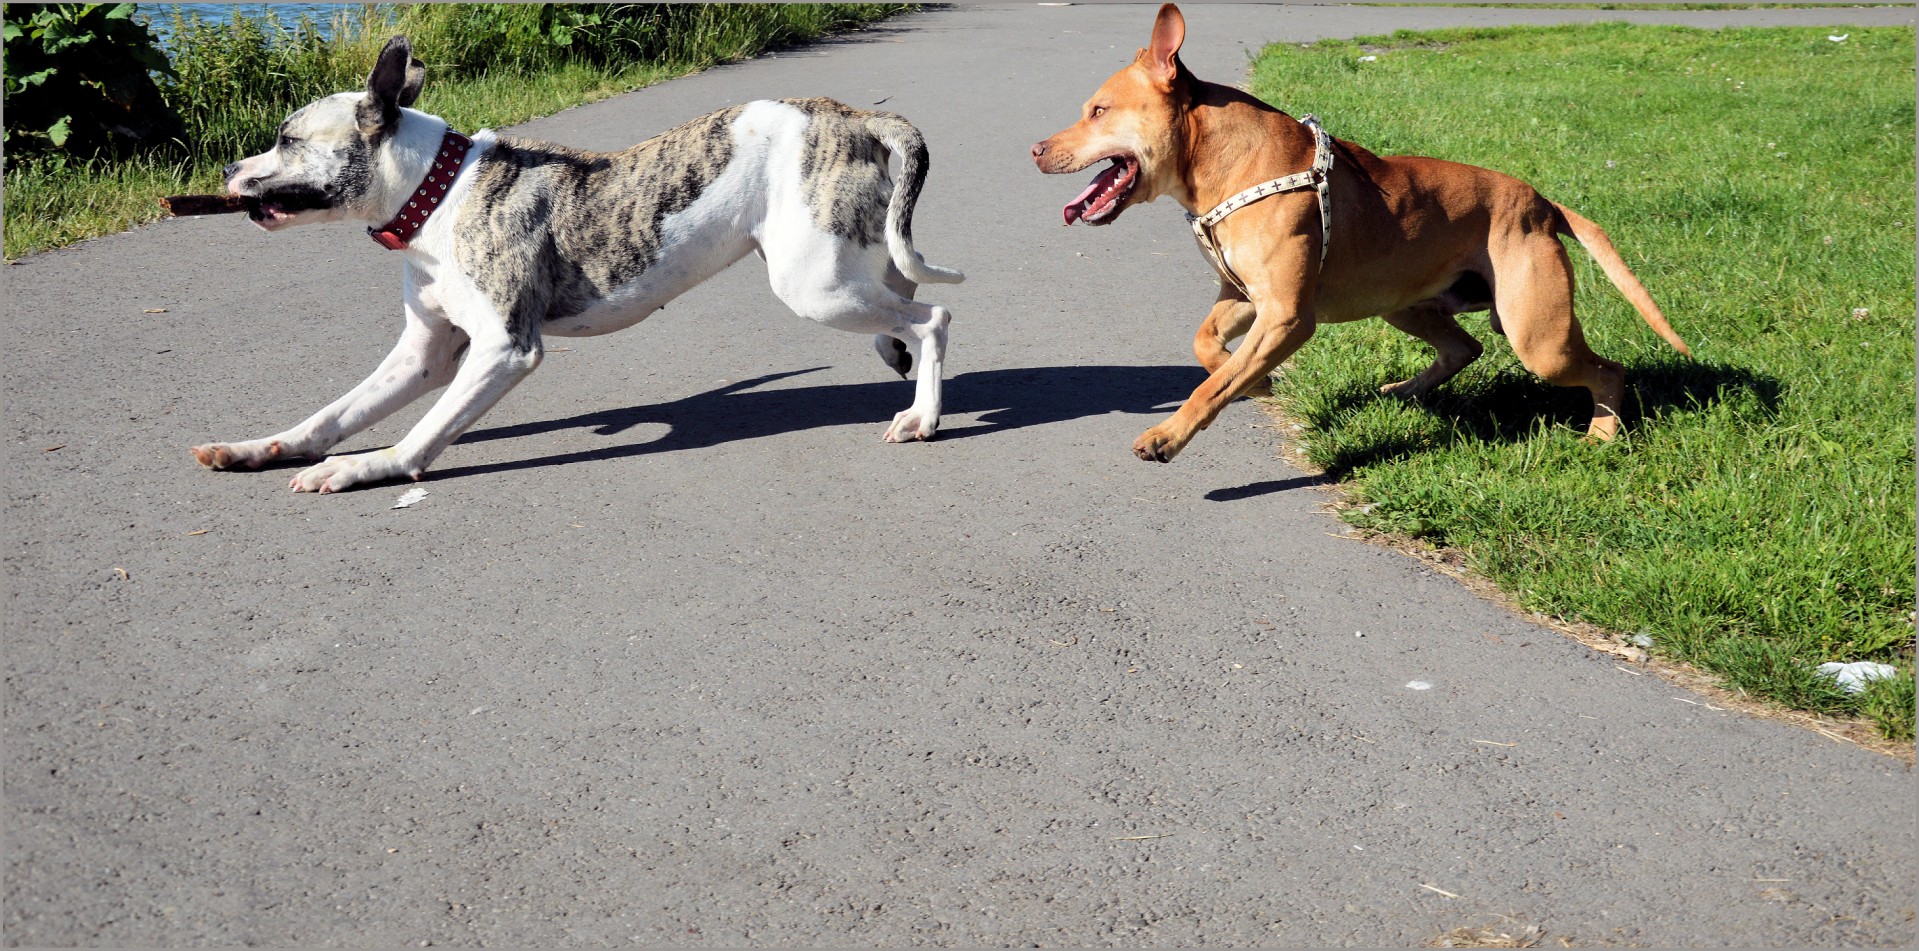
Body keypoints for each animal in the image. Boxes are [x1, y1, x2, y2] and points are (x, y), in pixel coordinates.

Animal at [194, 33, 959, 494]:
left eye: (286, 140)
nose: (227, 168)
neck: (437, 189)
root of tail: (851, 115)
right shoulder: (423, 354)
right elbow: (328, 416)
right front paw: (259, 447)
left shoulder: (503, 350)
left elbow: (420, 436)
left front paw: (365, 467)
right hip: (844, 264)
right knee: (899, 299)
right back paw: (897, 360)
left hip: (814, 286)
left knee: (933, 317)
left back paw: (921, 414)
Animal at [1043, 2, 1688, 463]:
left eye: (1098, 111)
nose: (1036, 149)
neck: (1222, 166)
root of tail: (1543, 202)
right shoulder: (1244, 296)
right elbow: (1207, 349)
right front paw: (1256, 381)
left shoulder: (1286, 315)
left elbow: (1209, 388)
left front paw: (1169, 434)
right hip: (1405, 304)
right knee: (1465, 347)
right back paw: (1402, 392)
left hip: (1538, 337)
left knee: (1605, 371)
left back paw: (1601, 437)